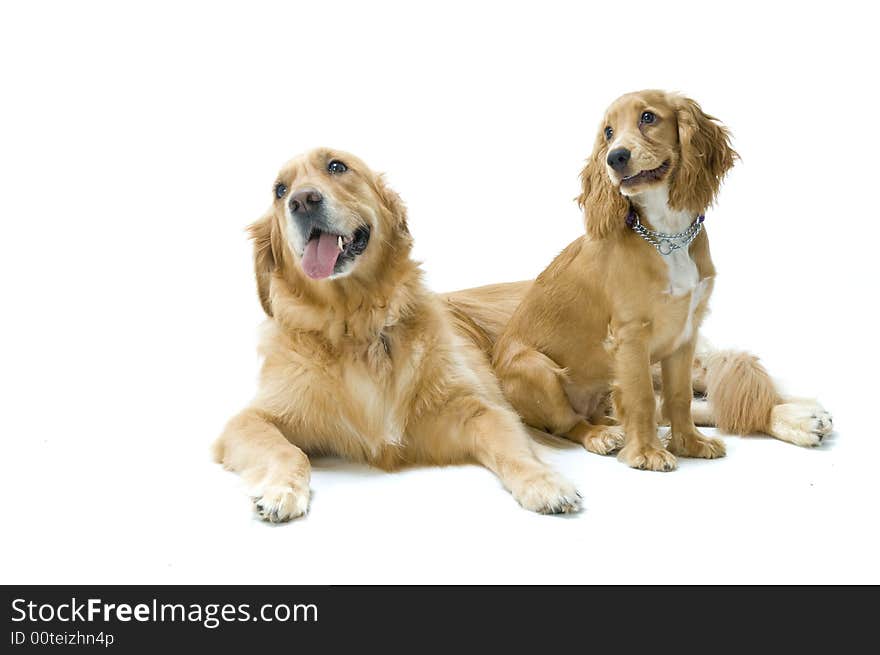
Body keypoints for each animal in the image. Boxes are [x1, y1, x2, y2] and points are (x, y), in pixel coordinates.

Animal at [214, 149, 580, 524]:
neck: (356, 328)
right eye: (280, 190)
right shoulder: (249, 419)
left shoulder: (478, 409)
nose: (302, 200)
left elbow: (511, 446)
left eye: (336, 166)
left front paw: (543, 482)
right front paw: (280, 490)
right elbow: (286, 450)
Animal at [446, 91, 832, 472]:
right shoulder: (631, 336)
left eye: (648, 117)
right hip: (534, 368)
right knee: (568, 422)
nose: (615, 157)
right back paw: (601, 435)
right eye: (608, 133)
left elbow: (680, 398)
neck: (666, 235)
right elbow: (644, 398)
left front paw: (689, 443)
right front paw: (647, 453)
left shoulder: (684, 334)